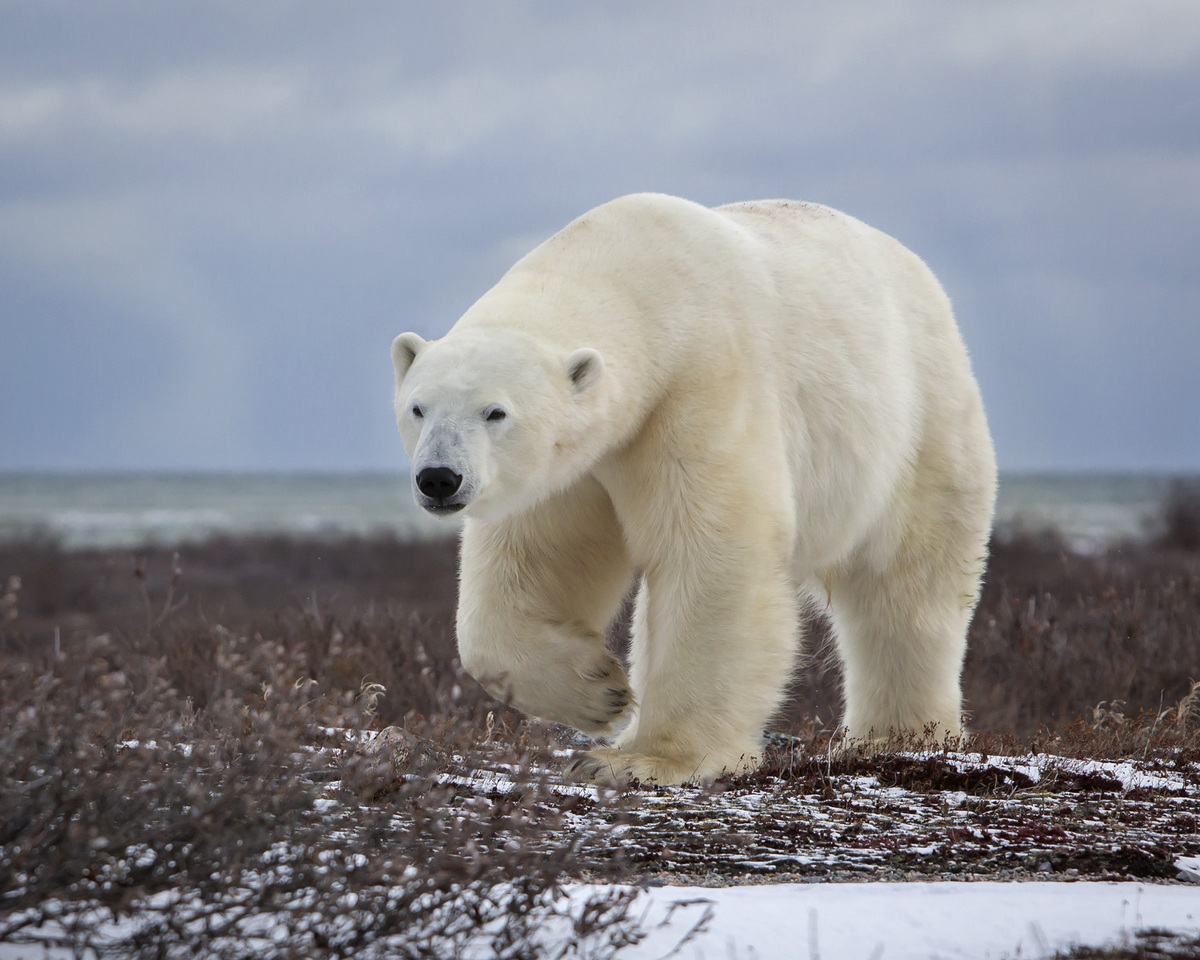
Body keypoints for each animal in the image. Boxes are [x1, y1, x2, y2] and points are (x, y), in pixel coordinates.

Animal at [391, 193, 996, 785]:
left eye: (495, 412)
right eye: (418, 407)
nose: (439, 478)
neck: (640, 280)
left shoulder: (702, 381)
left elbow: (713, 553)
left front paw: (649, 760)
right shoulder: (574, 463)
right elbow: (535, 560)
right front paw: (600, 692)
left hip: (920, 421)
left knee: (907, 588)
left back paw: (897, 737)